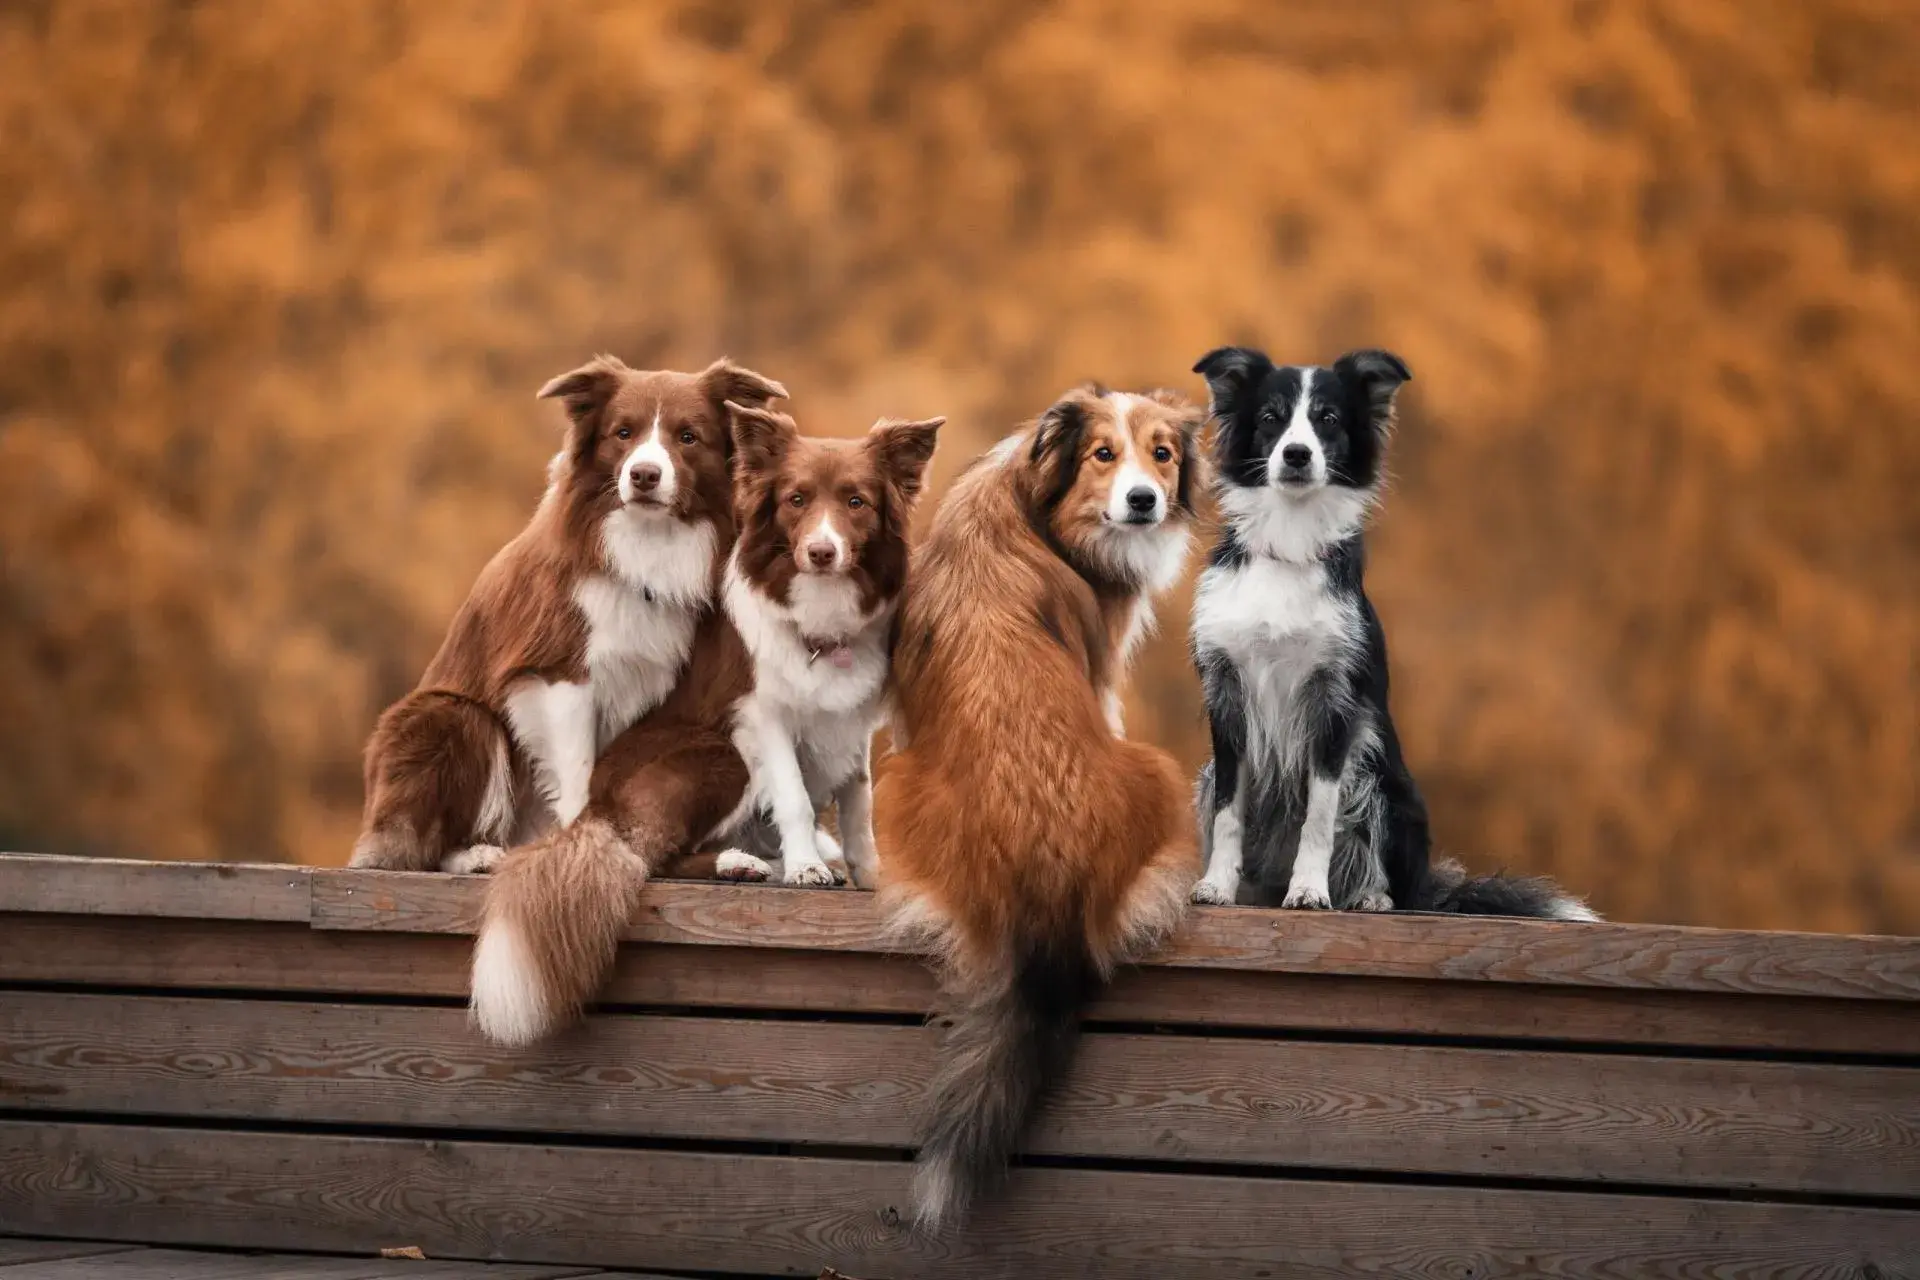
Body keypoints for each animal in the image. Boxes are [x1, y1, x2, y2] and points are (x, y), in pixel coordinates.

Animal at [349, 355, 783, 875]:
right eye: (623, 432)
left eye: (688, 437)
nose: (643, 475)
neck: (644, 541)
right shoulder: (559, 672)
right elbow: (578, 772)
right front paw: (579, 847)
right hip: (451, 716)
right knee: (421, 848)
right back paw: (477, 854)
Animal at [468, 404, 940, 1043]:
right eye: (795, 499)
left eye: (856, 502)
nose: (821, 551)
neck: (819, 616)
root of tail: (594, 810)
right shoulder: (761, 716)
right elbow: (795, 798)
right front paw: (807, 869)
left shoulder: (851, 723)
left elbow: (858, 806)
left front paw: (867, 875)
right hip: (721, 757)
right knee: (658, 860)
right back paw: (740, 864)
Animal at [879, 385, 1205, 1228]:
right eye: (1103, 455)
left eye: (1162, 454)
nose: (1144, 500)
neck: (1033, 499)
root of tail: (1048, 887)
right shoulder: (1102, 669)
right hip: (1158, 771)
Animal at [1190, 343, 1597, 921]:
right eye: (1270, 418)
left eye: (1329, 419)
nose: (1296, 454)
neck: (1290, 540)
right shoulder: (1226, 697)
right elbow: (1229, 811)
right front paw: (1217, 886)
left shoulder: (1334, 704)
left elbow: (1320, 816)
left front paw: (1309, 890)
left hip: (1379, 775)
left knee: (1392, 875)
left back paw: (1369, 895)